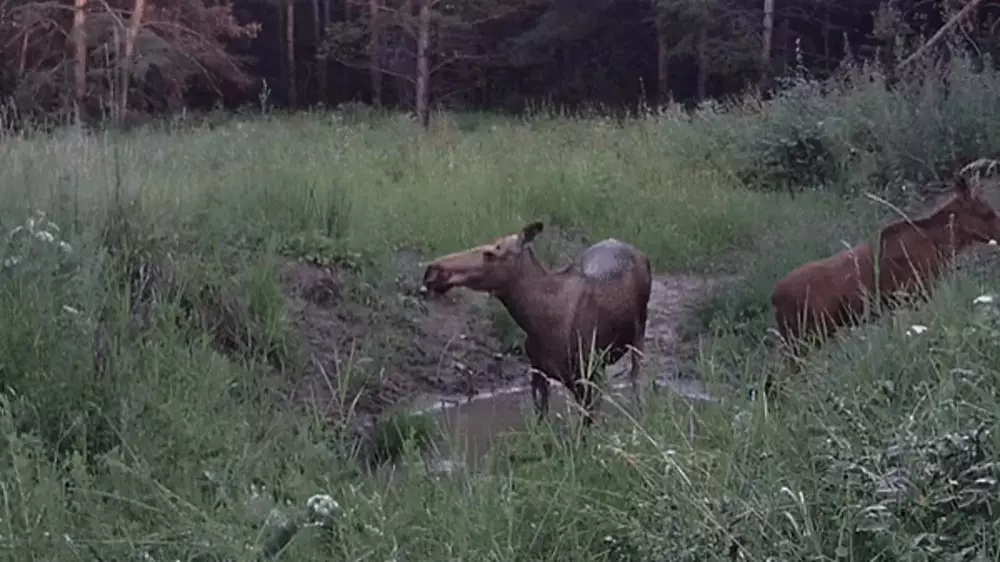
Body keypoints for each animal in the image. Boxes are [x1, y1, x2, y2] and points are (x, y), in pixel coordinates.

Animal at [422, 221, 656, 422]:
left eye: (490, 253)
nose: (431, 271)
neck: (537, 322)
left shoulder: (587, 377)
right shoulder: (538, 373)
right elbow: (542, 420)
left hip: (639, 335)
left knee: (637, 380)